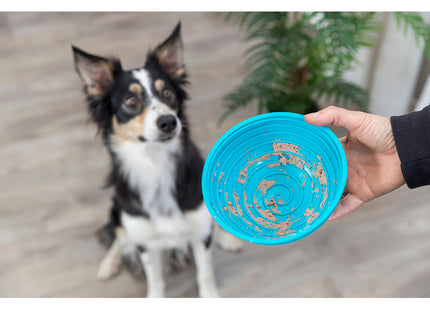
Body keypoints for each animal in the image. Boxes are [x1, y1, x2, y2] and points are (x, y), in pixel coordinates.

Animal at [72, 23, 244, 296]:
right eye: (130, 100)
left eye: (167, 93)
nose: (168, 122)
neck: (156, 162)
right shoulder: (146, 243)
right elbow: (155, 279)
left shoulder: (200, 231)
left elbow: (205, 273)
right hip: (116, 206)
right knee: (119, 234)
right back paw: (108, 263)